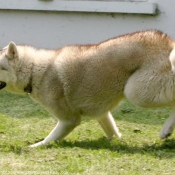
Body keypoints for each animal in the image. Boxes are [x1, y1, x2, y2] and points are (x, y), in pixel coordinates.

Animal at [0, 29, 175, 147]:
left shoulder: (69, 120)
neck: (33, 70)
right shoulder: (101, 113)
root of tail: (168, 42)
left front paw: (35, 146)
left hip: (137, 92)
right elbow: (112, 131)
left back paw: (166, 130)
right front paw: (118, 141)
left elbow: (50, 139)